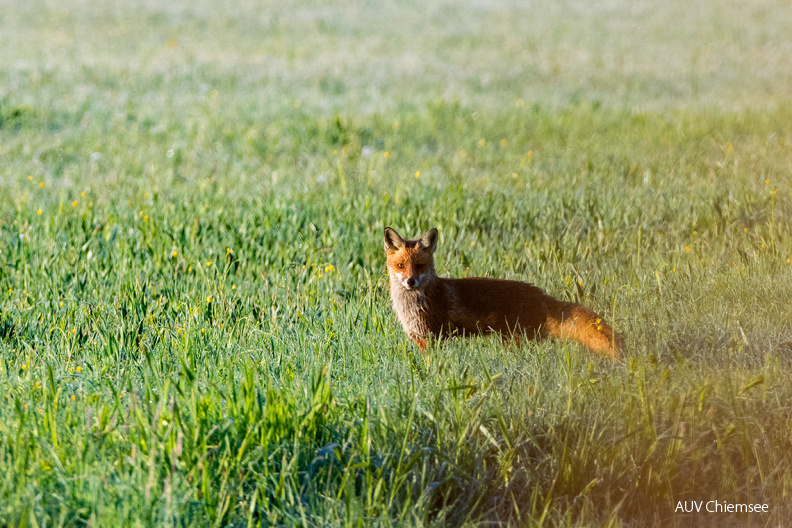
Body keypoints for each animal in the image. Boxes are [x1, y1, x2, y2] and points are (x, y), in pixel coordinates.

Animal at [384, 227, 624, 358]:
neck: (414, 305)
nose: (411, 281)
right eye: (400, 266)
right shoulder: (420, 339)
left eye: (420, 266)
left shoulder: (436, 337)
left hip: (515, 340)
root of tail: (541, 294)